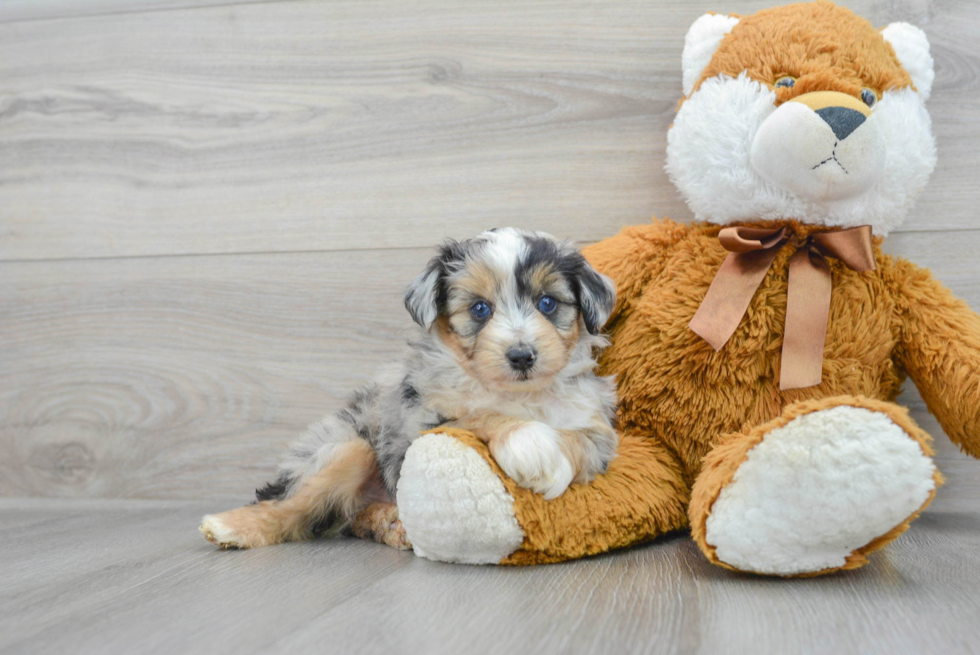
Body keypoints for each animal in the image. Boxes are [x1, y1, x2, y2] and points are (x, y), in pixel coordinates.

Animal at [200, 228, 616, 552]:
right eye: (480, 309)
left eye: (548, 303)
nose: (521, 356)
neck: (518, 394)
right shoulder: (426, 419)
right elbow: (481, 414)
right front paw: (530, 443)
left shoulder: (597, 428)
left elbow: (582, 442)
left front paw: (552, 464)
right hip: (345, 449)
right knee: (286, 505)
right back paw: (228, 527)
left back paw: (390, 523)